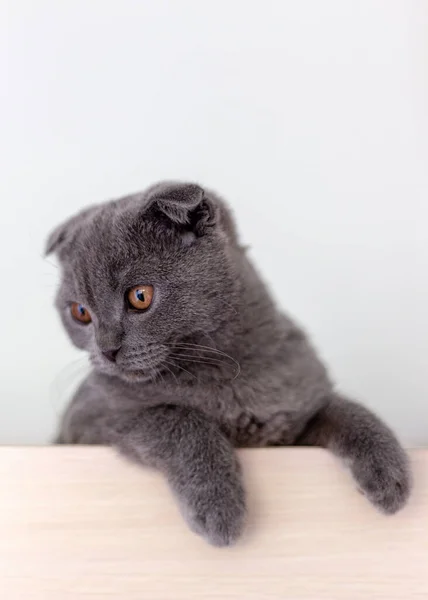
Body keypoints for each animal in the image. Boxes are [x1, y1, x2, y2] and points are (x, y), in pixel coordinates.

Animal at [46, 182, 412, 544]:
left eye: (140, 296)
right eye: (80, 312)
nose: (107, 349)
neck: (229, 373)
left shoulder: (293, 420)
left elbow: (344, 409)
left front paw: (390, 473)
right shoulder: (88, 420)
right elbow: (174, 415)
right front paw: (218, 508)